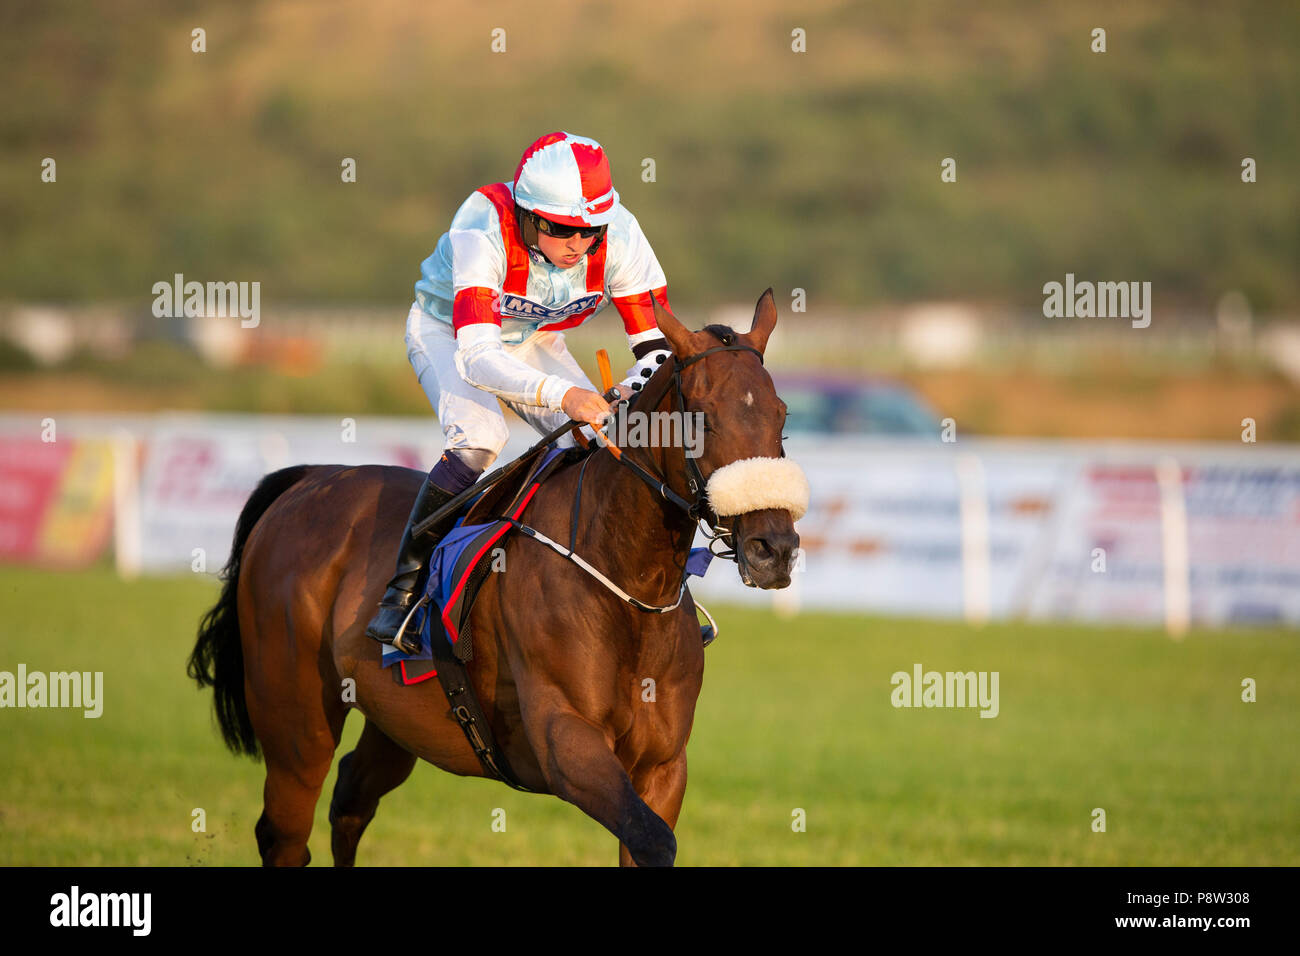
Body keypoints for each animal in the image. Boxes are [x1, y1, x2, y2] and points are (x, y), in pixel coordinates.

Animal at [189, 290, 806, 868]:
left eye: (781, 415)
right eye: (702, 416)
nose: (773, 548)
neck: (627, 583)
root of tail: (310, 479)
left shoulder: (663, 765)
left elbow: (648, 835)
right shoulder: (565, 742)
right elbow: (653, 839)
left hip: (394, 722)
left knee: (350, 801)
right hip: (296, 722)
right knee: (285, 834)